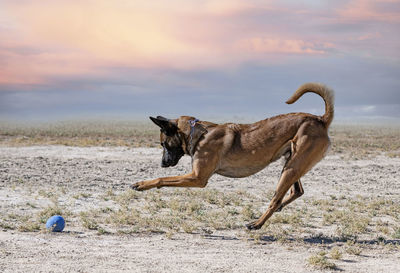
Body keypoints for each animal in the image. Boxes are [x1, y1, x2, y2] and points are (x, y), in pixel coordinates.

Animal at [132, 82, 334, 228]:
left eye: (163, 144)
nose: (162, 163)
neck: (197, 133)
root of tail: (320, 119)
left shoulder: (198, 178)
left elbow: (163, 179)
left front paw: (141, 184)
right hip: (292, 162)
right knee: (297, 191)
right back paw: (279, 208)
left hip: (291, 168)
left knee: (275, 199)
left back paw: (257, 224)